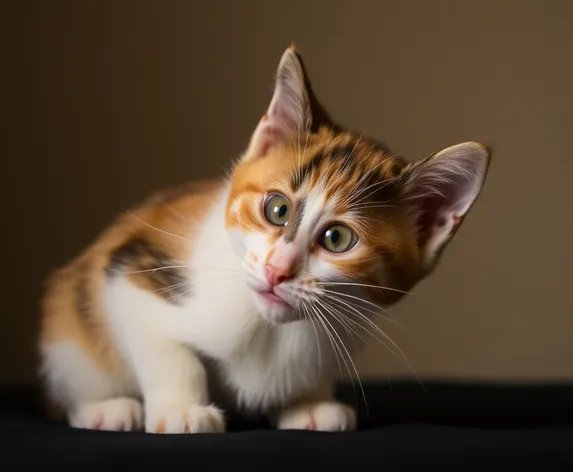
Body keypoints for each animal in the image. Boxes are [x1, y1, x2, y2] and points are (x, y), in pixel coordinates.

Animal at [38, 44, 490, 432]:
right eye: (278, 209)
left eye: (337, 238)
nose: (277, 271)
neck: (271, 326)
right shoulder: (134, 266)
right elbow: (168, 348)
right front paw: (182, 409)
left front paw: (309, 403)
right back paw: (105, 408)